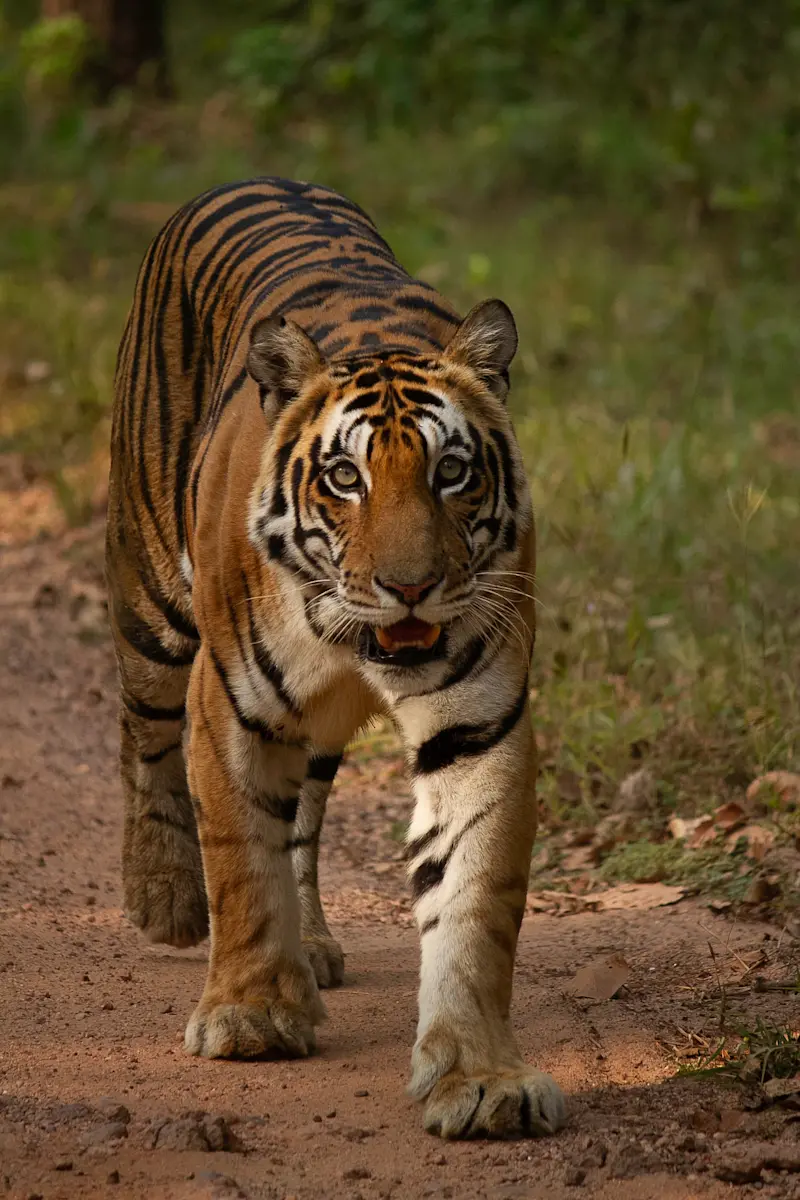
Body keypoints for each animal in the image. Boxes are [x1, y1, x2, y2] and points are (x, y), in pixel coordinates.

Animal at [105, 176, 566, 1140]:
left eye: (452, 471)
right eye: (345, 478)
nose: (410, 587)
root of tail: (255, 175)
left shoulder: (477, 724)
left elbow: (471, 901)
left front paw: (482, 1078)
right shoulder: (228, 703)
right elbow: (240, 857)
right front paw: (249, 1014)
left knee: (304, 820)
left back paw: (311, 943)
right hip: (150, 599)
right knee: (142, 734)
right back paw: (164, 896)